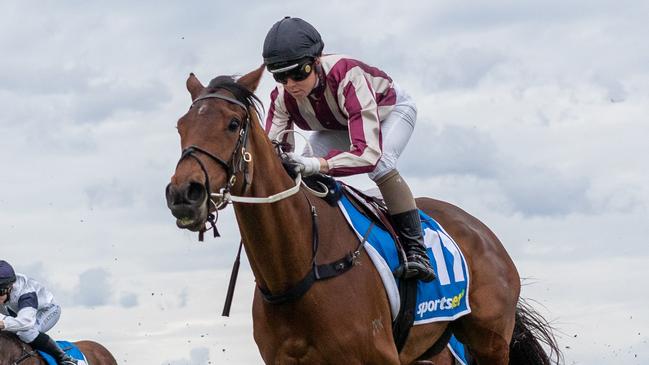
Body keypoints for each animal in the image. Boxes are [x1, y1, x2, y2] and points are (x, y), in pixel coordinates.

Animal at [165, 66, 560, 364]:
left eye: (233, 124)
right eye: (180, 126)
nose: (184, 194)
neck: (299, 266)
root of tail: (482, 232)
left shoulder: (378, 356)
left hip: (489, 341)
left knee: (383, 164)